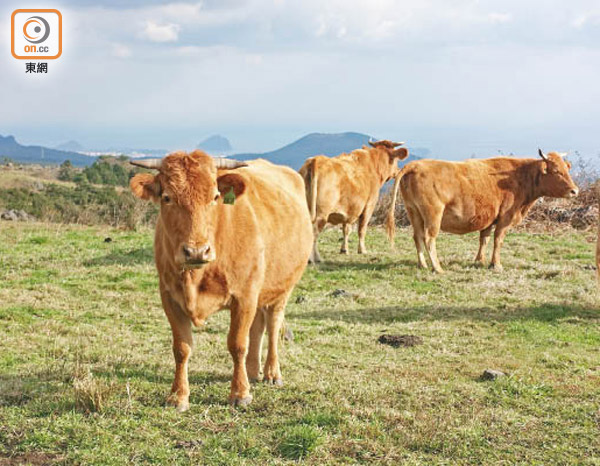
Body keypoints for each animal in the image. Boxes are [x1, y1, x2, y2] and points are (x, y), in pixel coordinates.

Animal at [129, 152, 312, 408]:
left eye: (215, 196)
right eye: (167, 197)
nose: (196, 251)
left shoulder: (244, 297)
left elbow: (237, 344)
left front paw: (240, 394)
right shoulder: (169, 297)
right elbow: (182, 348)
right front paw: (178, 395)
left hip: (283, 288)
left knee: (273, 325)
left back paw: (272, 373)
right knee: (258, 326)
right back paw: (252, 372)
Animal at [386, 149, 580, 274]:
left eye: (566, 169)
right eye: (556, 171)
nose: (574, 191)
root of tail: (414, 165)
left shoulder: (489, 218)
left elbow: (484, 239)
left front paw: (480, 261)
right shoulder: (505, 219)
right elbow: (497, 241)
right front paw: (496, 265)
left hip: (413, 211)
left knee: (417, 236)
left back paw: (423, 265)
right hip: (433, 213)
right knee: (428, 238)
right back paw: (437, 268)